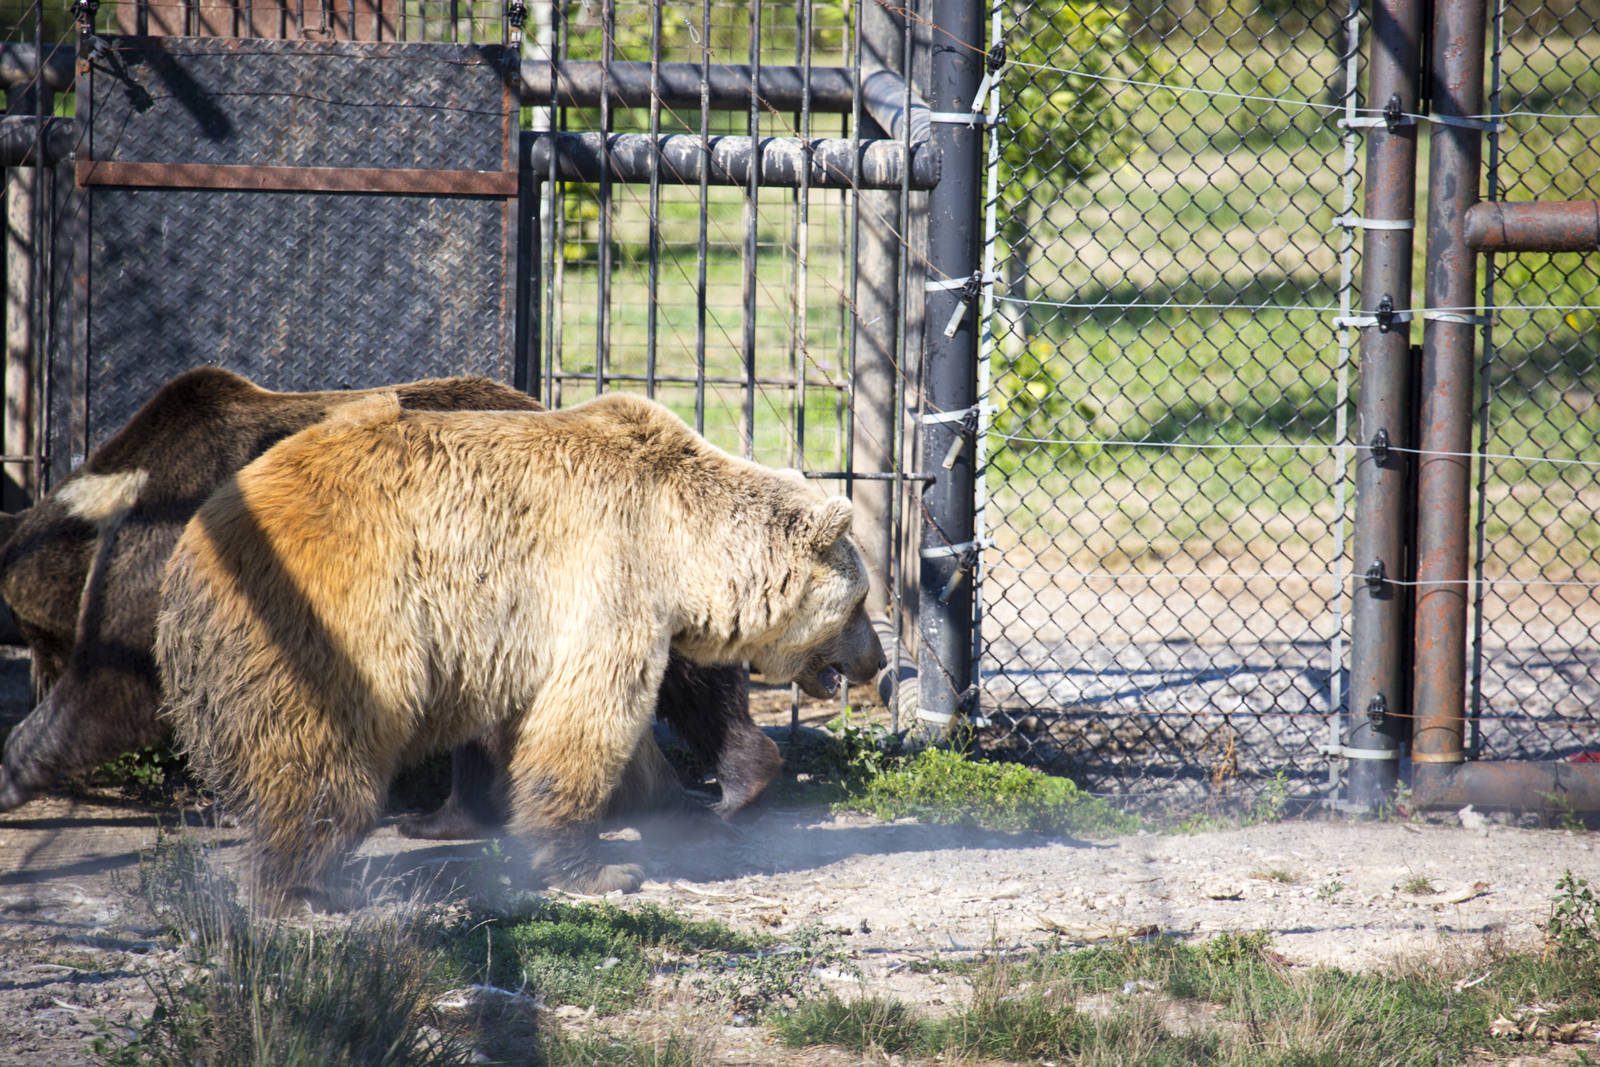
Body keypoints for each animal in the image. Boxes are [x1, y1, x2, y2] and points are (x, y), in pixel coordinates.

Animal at [155, 391, 884, 907]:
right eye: (860, 602)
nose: (876, 660)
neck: (682, 545)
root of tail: (190, 552)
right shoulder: (607, 579)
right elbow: (586, 724)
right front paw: (602, 867)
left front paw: (687, 817)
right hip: (333, 622)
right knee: (320, 757)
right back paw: (302, 885)